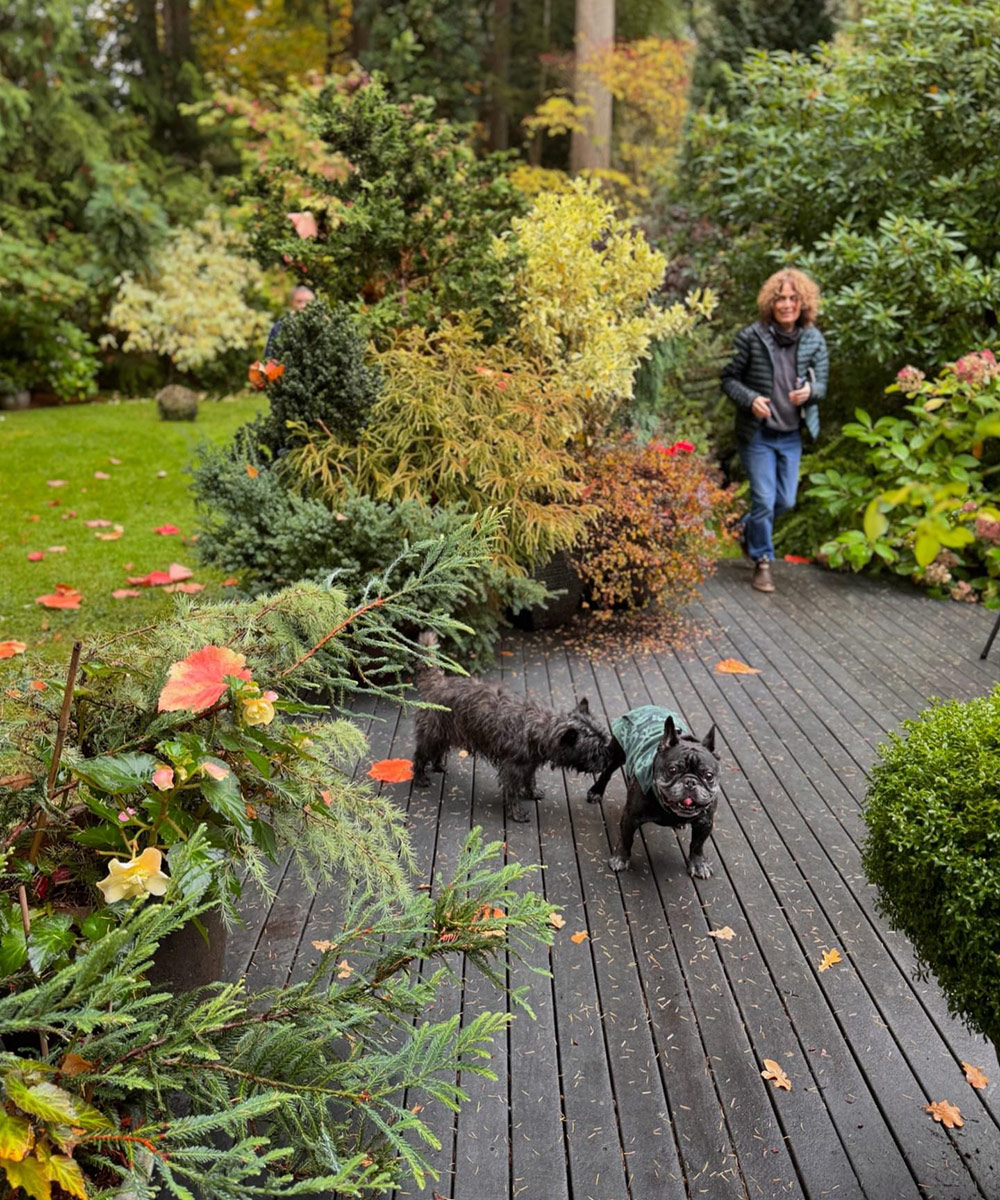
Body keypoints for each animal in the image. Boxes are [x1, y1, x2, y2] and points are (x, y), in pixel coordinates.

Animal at [410, 633, 612, 820]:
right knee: (420, 756)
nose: (608, 762)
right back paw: (420, 777)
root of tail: (437, 684)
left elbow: (530, 780)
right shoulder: (512, 769)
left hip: (443, 734)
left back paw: (438, 766)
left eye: (605, 742)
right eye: (594, 751)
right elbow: (512, 791)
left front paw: (532, 793)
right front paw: (516, 813)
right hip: (432, 734)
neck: (542, 728)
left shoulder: (529, 765)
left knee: (438, 751)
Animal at [585, 705, 720, 878]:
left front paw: (698, 864)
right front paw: (620, 859)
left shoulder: (705, 822)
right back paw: (596, 791)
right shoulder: (630, 817)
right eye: (672, 770)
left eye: (708, 775)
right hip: (617, 755)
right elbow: (626, 838)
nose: (690, 782)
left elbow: (697, 845)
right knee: (607, 772)